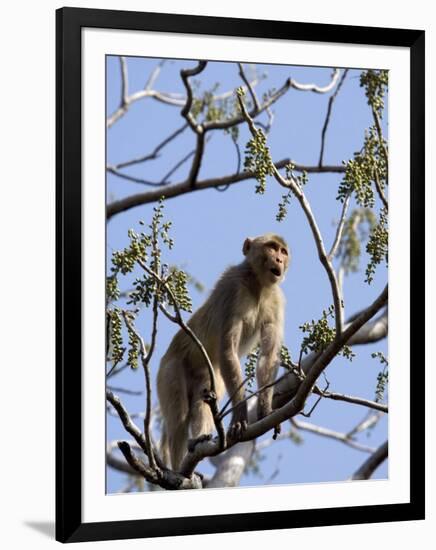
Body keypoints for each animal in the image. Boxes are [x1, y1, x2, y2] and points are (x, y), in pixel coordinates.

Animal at [158, 235, 290, 472]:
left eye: (283, 251)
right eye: (272, 247)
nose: (279, 260)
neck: (258, 285)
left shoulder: (277, 301)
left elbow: (268, 357)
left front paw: (266, 410)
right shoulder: (232, 286)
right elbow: (228, 349)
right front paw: (239, 415)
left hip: (211, 374)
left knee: (203, 399)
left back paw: (199, 439)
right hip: (170, 368)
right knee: (179, 417)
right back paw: (179, 470)